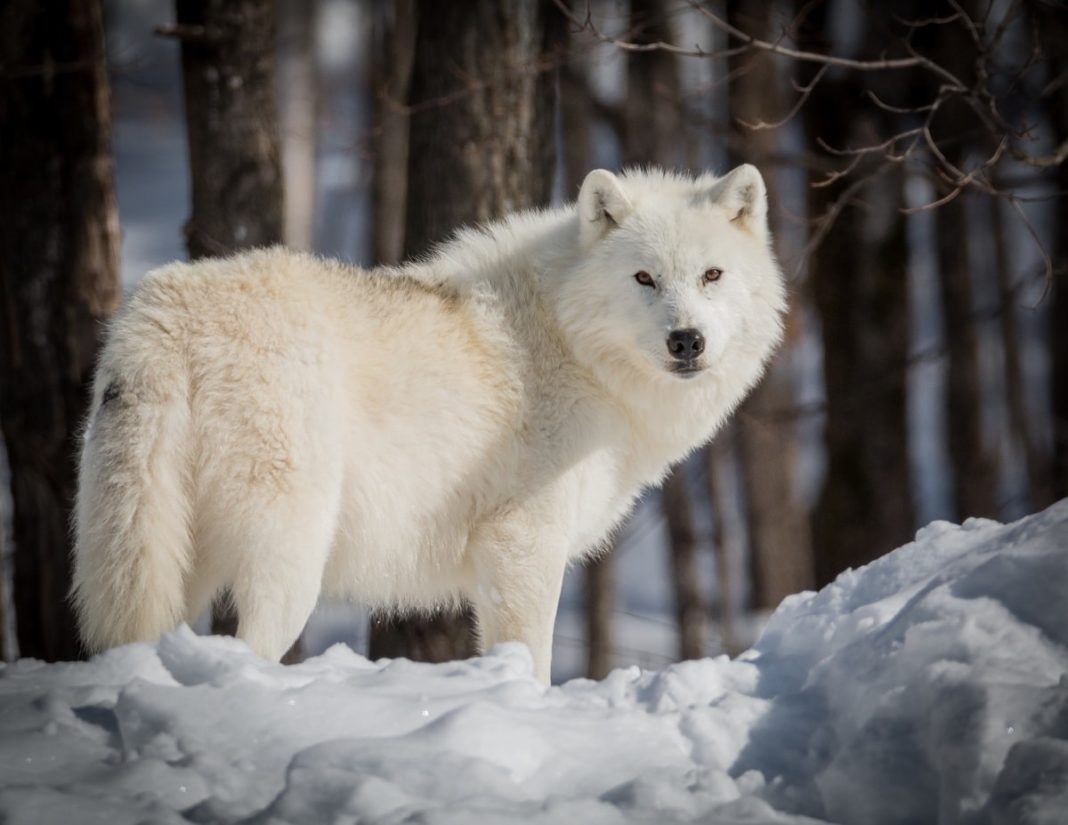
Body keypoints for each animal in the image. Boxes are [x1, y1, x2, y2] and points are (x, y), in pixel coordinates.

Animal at [73, 164, 786, 679]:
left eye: (712, 275)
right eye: (644, 278)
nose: (687, 341)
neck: (569, 343)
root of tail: (162, 318)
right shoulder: (523, 545)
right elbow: (529, 663)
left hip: (170, 563)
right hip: (289, 560)